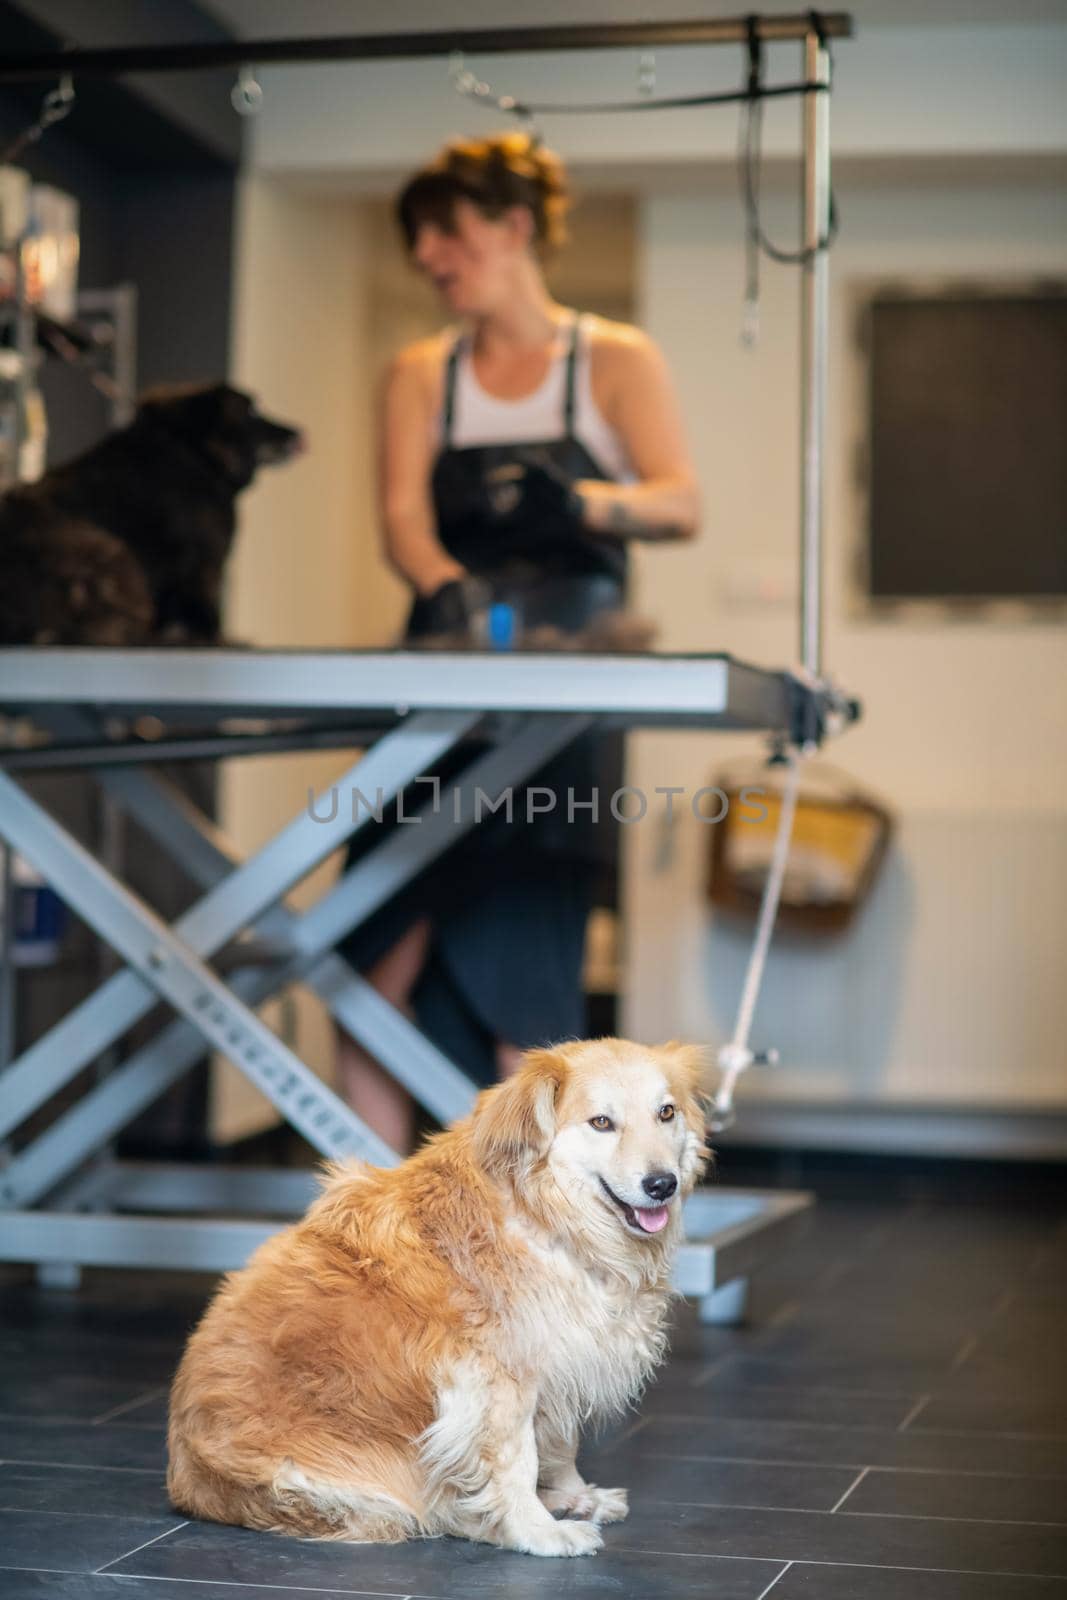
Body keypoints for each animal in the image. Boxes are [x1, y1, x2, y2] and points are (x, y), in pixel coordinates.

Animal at [0, 380, 303, 643]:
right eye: (253, 411)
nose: (300, 432)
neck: (193, 450)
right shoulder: (206, 560)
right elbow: (209, 614)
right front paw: (215, 638)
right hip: (112, 552)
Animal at [167, 1036, 710, 1548]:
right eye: (601, 1122)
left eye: (666, 1112)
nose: (662, 1184)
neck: (543, 1214)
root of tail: (190, 1481)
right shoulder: (494, 1374)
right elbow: (515, 1461)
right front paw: (536, 1530)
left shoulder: (558, 1355)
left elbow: (561, 1443)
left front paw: (573, 1494)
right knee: (435, 1510)